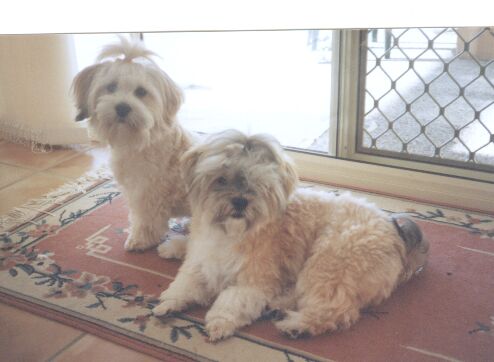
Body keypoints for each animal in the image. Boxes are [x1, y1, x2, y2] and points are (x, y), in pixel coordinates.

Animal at [73, 36, 193, 252]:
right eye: (111, 87)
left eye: (141, 92)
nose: (122, 107)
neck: (140, 142)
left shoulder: (147, 193)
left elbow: (146, 220)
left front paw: (140, 240)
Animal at [154, 130, 428, 342]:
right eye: (221, 179)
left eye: (257, 183)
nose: (240, 201)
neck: (229, 233)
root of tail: (395, 231)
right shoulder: (200, 263)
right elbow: (184, 284)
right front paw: (168, 302)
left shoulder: (252, 281)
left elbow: (231, 301)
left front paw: (220, 322)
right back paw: (278, 306)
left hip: (329, 261)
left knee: (334, 310)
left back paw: (296, 325)